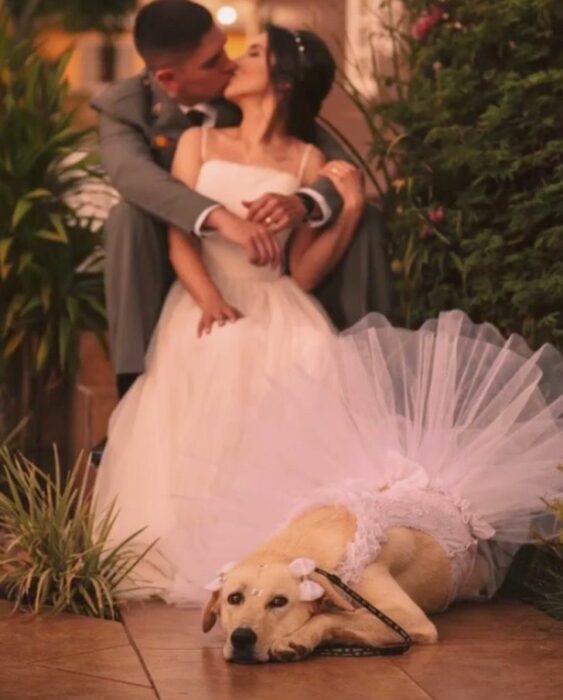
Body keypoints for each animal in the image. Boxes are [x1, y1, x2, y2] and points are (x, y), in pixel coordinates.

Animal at [200, 494, 492, 664]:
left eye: (279, 602)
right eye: (234, 598)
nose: (241, 638)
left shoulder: (408, 616)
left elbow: (331, 616)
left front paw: (299, 638)